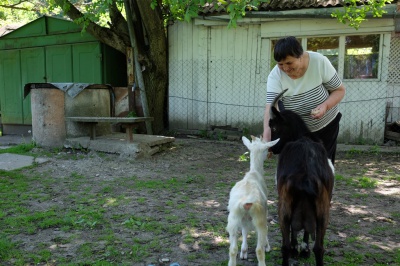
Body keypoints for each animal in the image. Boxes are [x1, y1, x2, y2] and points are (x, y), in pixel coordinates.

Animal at [227, 136, 280, 264]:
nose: (270, 154)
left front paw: (244, 252)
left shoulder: (244, 218)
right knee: (259, 249)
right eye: (266, 149)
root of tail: (246, 202)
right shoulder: (265, 211)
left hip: (233, 219)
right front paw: (267, 246)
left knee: (232, 249)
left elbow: (245, 230)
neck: (254, 173)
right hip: (259, 217)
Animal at [268, 90, 334, 266]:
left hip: (284, 207)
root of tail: (306, 178)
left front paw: (297, 248)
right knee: (319, 248)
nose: (272, 148)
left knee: (286, 245)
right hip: (322, 211)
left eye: (274, 127)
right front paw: (302, 249)